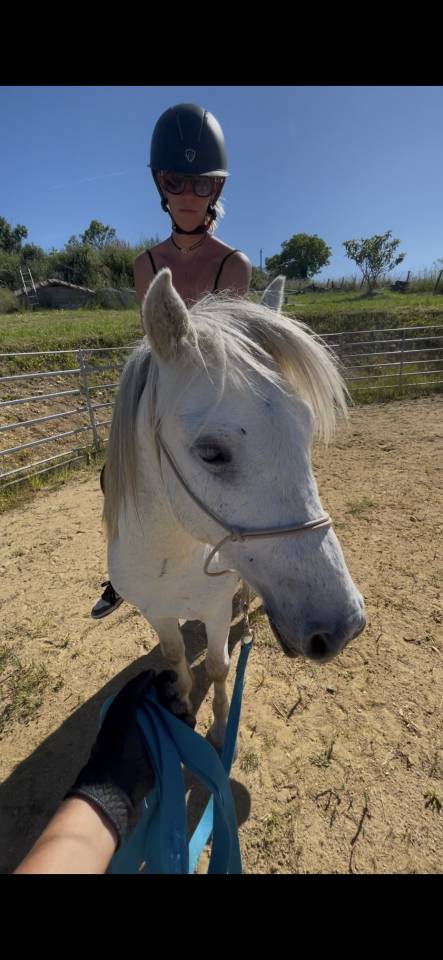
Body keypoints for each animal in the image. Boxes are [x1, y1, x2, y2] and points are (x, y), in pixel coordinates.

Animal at [103, 269, 366, 750]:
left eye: (305, 430)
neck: (169, 561)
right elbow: (174, 655)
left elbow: (218, 667)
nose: (344, 625)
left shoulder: (214, 611)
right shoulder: (155, 612)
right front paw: (183, 704)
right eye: (211, 453)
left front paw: (221, 728)